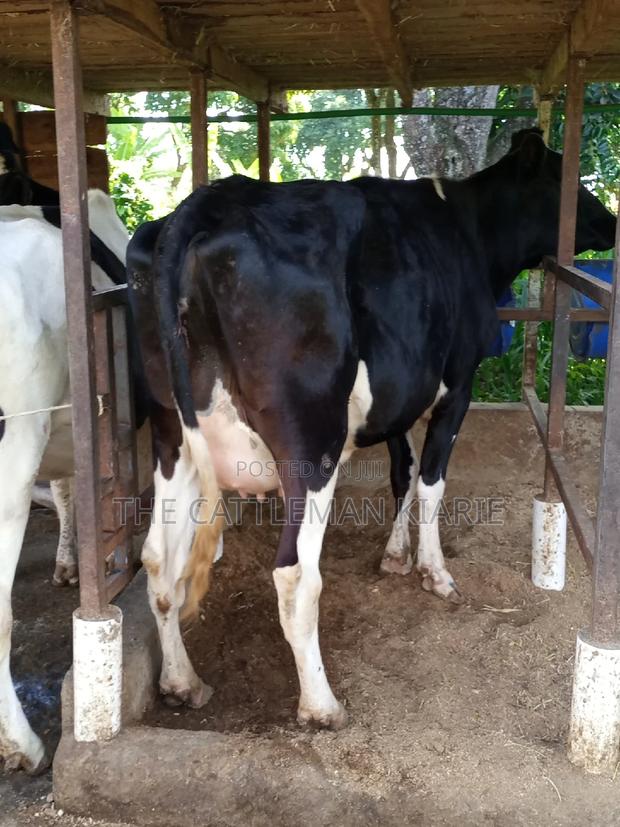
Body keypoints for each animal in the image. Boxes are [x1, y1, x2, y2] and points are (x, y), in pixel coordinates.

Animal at [127, 129, 615, 732]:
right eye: (564, 177)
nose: (613, 221)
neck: (469, 231)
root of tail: (205, 203)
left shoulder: (397, 399)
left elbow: (401, 473)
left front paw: (395, 555)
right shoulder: (459, 382)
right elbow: (431, 481)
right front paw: (433, 571)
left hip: (170, 432)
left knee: (157, 560)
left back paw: (181, 681)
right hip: (311, 443)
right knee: (295, 575)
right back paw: (321, 705)